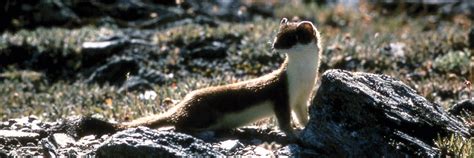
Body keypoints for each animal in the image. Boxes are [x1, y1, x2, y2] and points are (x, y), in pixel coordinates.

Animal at [83, 18, 324, 138]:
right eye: (277, 35)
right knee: (178, 123)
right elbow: (283, 120)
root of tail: (184, 103)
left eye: (290, 38)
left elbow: (302, 115)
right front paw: (293, 133)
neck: (303, 77)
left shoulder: (302, 97)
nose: (274, 45)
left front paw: (306, 126)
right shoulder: (281, 94)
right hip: (202, 114)